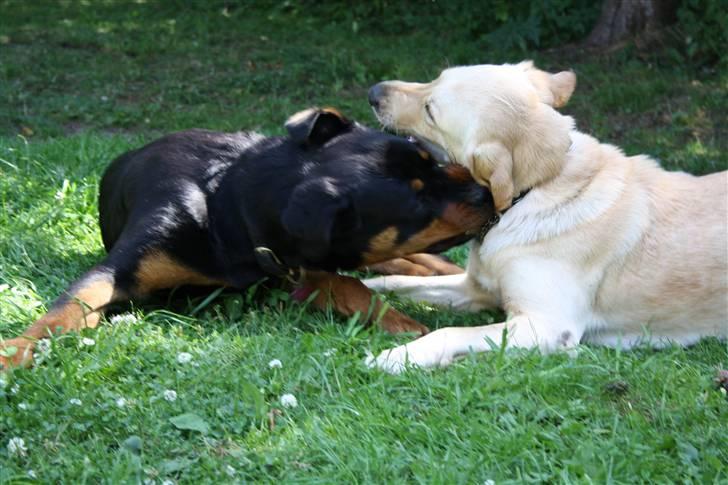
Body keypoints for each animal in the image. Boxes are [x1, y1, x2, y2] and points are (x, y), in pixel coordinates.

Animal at [0, 108, 494, 366]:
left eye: (430, 158)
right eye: (418, 204)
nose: (487, 191)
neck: (222, 206)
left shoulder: (303, 264)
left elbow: (349, 285)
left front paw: (403, 324)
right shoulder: (116, 270)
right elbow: (68, 308)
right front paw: (15, 350)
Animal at [364, 59, 728, 370]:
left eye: (430, 111)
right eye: (436, 77)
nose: (373, 92)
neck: (536, 189)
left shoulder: (545, 325)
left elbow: (449, 332)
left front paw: (397, 356)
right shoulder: (475, 289)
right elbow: (398, 282)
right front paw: (365, 285)